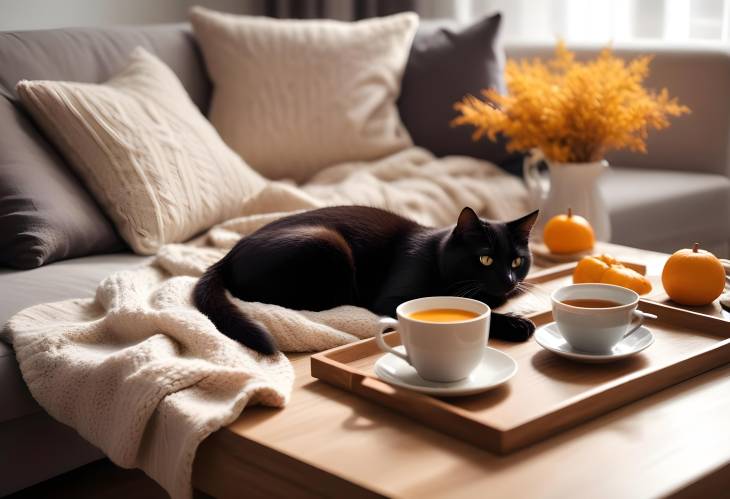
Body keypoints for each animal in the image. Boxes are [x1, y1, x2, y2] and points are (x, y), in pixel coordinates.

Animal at [192, 206, 536, 356]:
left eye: (517, 261)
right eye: (486, 259)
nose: (508, 280)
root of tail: (227, 254)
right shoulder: (396, 298)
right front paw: (516, 323)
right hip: (327, 243)